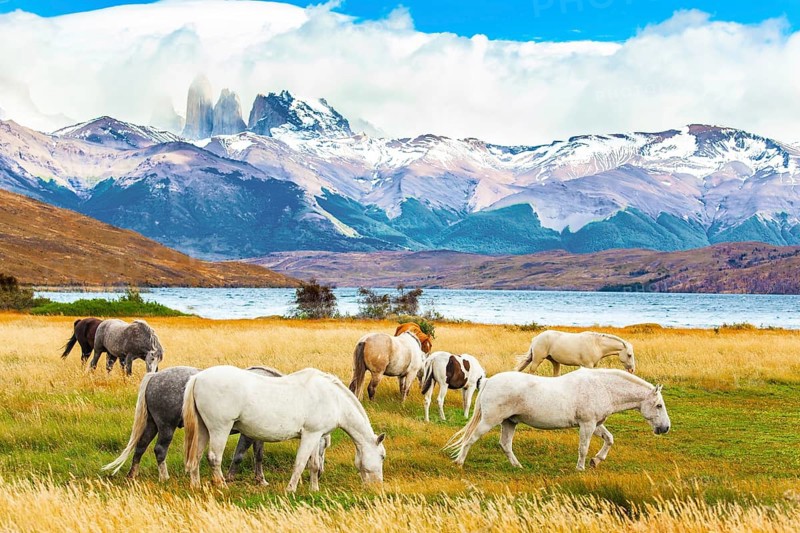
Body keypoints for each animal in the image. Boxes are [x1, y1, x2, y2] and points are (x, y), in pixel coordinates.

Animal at [103, 366, 329, 484]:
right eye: (324, 446)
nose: (321, 471)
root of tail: (155, 376)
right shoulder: (248, 434)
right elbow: (239, 455)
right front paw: (228, 477)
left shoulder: (259, 434)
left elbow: (259, 455)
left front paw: (260, 479)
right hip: (166, 426)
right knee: (159, 450)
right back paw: (164, 477)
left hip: (152, 424)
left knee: (140, 447)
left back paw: (132, 475)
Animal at [183, 365, 385, 492]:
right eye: (382, 456)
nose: (377, 486)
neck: (333, 398)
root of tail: (198, 377)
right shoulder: (310, 435)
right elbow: (300, 463)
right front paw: (291, 489)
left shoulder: (316, 435)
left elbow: (313, 464)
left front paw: (314, 489)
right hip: (219, 429)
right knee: (214, 458)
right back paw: (222, 486)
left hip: (203, 430)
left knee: (196, 457)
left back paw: (196, 486)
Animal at [446, 369, 670, 470]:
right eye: (659, 405)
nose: (665, 428)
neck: (602, 387)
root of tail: (488, 381)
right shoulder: (587, 425)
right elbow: (583, 448)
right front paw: (581, 468)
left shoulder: (596, 424)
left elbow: (609, 439)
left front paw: (596, 460)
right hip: (489, 421)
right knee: (470, 440)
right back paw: (459, 462)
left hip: (509, 422)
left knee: (505, 444)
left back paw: (517, 466)